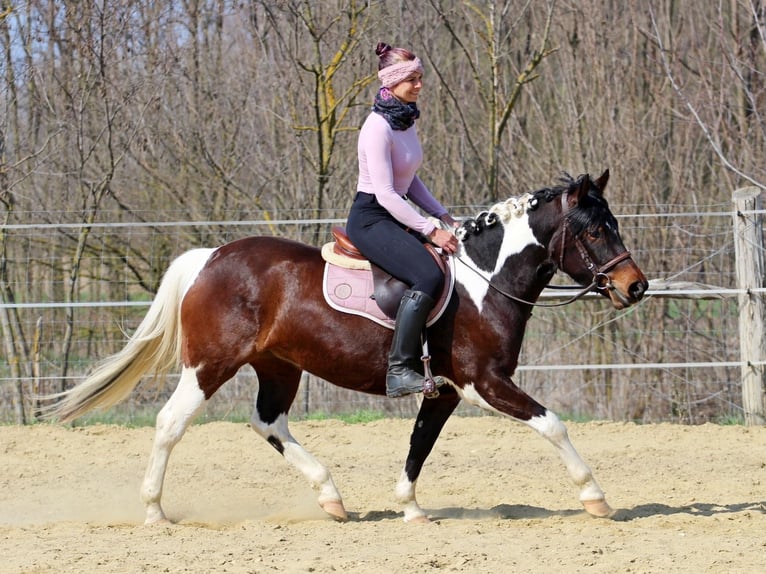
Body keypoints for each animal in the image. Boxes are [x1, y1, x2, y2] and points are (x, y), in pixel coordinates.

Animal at [44, 170, 648, 524]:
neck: (484, 281)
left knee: (267, 422)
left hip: (279, 367)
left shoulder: (446, 390)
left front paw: (409, 508)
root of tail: (211, 258)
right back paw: (154, 513)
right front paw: (595, 498)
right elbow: (553, 424)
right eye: (594, 231)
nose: (635, 286)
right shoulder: (484, 383)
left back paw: (331, 497)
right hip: (210, 365)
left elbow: (420, 443)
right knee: (172, 424)